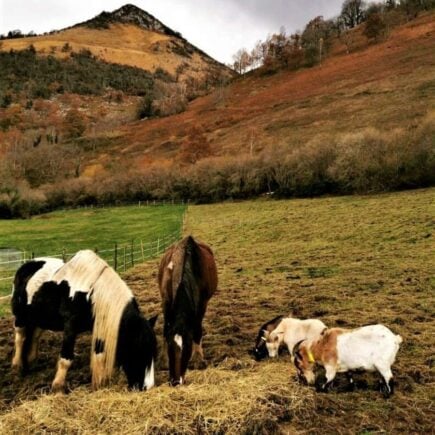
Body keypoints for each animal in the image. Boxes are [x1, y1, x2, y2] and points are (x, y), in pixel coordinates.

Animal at [11, 250, 158, 394]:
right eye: (138, 350)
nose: (147, 387)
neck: (91, 294)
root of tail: (27, 265)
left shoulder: (99, 325)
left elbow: (100, 355)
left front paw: (99, 384)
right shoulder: (70, 327)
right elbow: (66, 358)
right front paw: (58, 387)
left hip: (40, 317)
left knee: (35, 336)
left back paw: (32, 361)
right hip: (21, 316)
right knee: (20, 337)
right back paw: (17, 366)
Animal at [158, 237, 218, 386]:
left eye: (187, 348)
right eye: (170, 347)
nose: (175, 381)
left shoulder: (202, 304)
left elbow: (197, 329)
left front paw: (198, 359)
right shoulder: (166, 301)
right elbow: (165, 328)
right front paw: (163, 360)